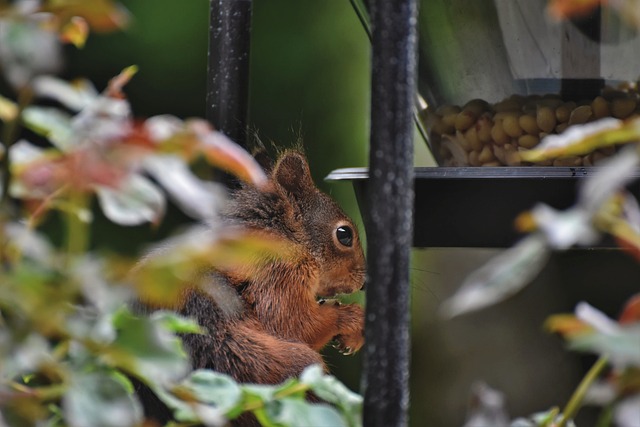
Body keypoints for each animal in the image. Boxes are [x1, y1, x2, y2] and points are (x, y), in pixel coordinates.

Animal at [138, 150, 368, 424]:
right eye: (344, 234)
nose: (364, 283)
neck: (286, 238)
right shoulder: (277, 273)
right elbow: (293, 324)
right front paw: (353, 319)